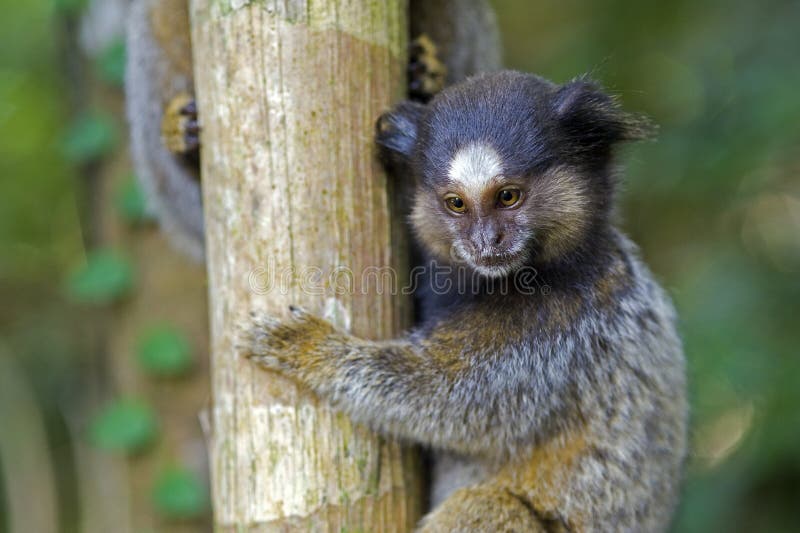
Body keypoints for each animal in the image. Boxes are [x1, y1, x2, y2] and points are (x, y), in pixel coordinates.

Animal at [244, 71, 688, 532]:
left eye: (508, 196)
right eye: (455, 203)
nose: (485, 241)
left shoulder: (558, 332)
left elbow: (452, 402)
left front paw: (311, 349)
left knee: (484, 504)